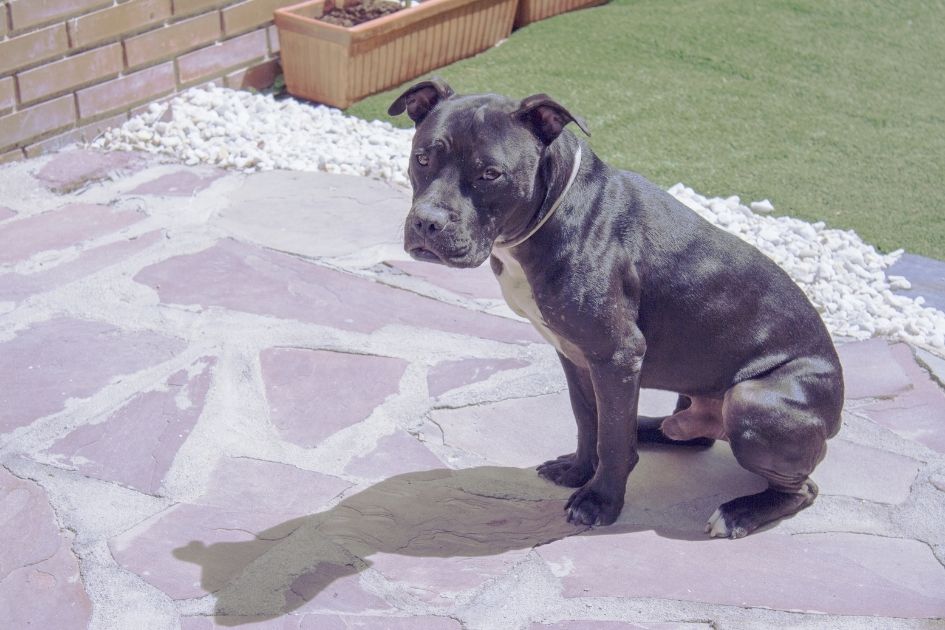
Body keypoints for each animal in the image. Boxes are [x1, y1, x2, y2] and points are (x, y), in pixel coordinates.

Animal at [388, 79, 844, 540]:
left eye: (490, 174)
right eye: (422, 157)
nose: (426, 223)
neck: (550, 211)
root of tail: (838, 412)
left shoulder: (616, 354)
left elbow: (608, 437)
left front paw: (600, 501)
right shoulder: (575, 355)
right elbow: (589, 419)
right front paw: (578, 470)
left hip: (751, 399)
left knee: (802, 489)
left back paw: (739, 512)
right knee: (687, 434)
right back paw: (650, 427)